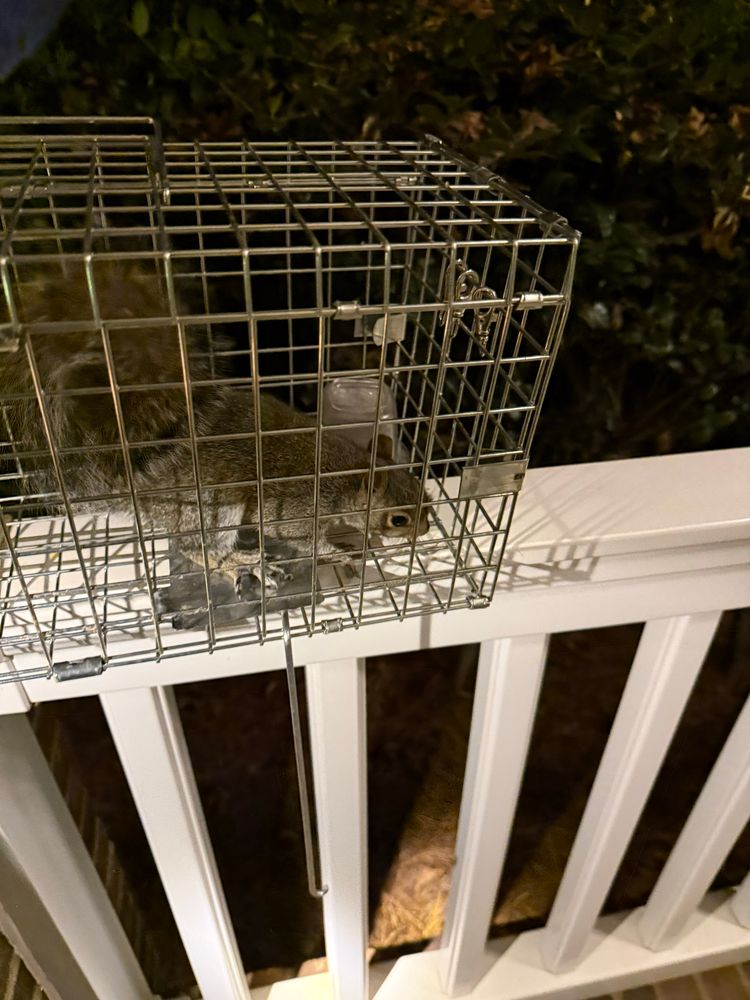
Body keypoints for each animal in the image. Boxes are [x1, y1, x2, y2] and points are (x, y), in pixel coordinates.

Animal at [0, 264, 430, 597]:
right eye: (398, 519)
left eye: (422, 490)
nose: (425, 529)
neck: (345, 472)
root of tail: (144, 483)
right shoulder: (298, 511)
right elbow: (303, 541)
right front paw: (339, 553)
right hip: (214, 506)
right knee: (198, 549)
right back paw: (240, 561)